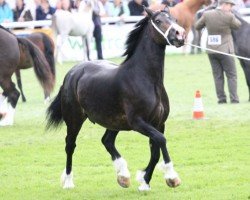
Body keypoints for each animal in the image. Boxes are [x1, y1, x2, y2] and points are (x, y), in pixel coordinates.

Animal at [46, 7, 186, 191]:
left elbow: (155, 151)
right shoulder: (138, 123)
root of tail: (73, 72)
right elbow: (162, 141)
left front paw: (144, 181)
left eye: (175, 19)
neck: (145, 78)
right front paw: (171, 177)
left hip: (114, 122)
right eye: (158, 21)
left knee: (107, 141)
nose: (180, 34)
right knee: (70, 145)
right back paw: (69, 182)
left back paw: (123, 176)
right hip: (74, 119)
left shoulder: (158, 123)